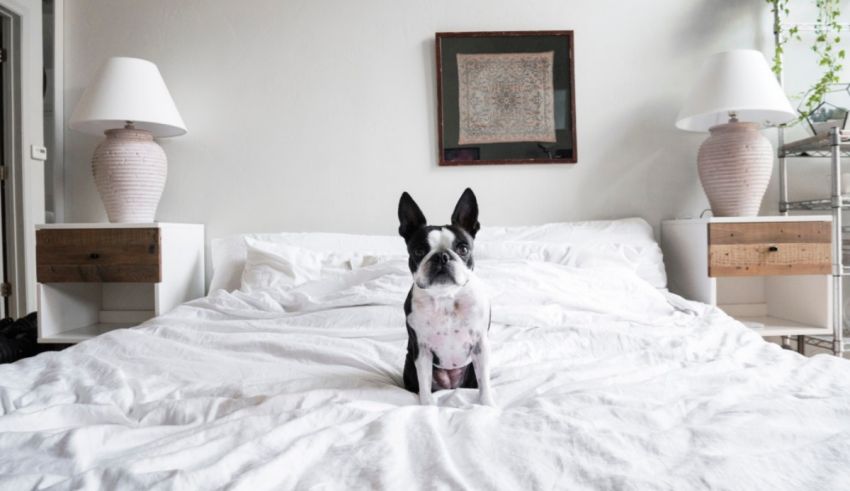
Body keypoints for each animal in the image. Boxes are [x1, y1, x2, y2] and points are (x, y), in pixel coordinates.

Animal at [400, 188, 496, 408]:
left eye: (463, 249)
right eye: (419, 251)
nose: (442, 256)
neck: (446, 297)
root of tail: (451, 387)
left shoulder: (480, 346)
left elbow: (485, 383)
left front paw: (487, 405)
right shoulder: (422, 350)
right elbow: (424, 384)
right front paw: (427, 407)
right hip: (409, 363)